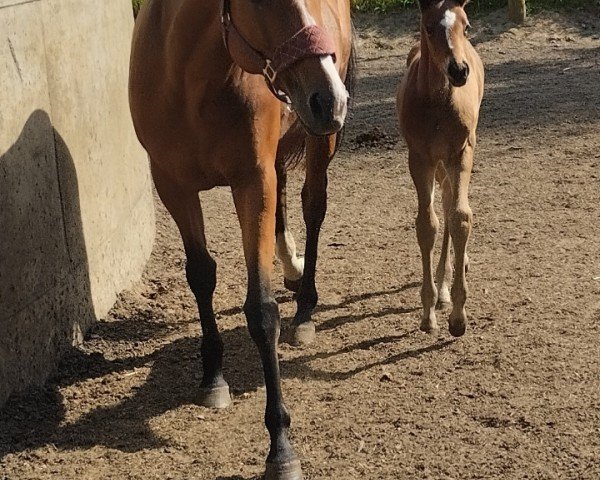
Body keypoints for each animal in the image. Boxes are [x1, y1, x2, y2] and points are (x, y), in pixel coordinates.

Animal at [126, 0, 352, 480]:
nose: (330, 98)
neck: (188, 79)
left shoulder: (252, 183)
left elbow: (262, 312)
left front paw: (281, 447)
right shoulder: (172, 185)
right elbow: (200, 276)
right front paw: (212, 376)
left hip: (318, 138)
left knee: (313, 206)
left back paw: (306, 307)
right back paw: (291, 267)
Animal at [396, 0, 486, 338]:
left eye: (467, 26)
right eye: (429, 27)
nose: (459, 70)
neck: (437, 102)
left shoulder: (461, 153)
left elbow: (459, 218)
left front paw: (458, 317)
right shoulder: (420, 158)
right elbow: (427, 225)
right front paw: (428, 313)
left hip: (449, 162)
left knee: (449, 205)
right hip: (437, 164)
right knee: (442, 205)